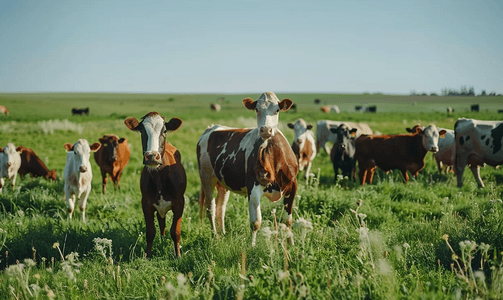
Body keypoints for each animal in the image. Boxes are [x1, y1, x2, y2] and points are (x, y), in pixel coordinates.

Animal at [125, 111, 188, 256]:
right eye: (142, 131)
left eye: (164, 130)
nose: (152, 156)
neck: (160, 179)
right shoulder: (146, 203)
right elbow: (150, 232)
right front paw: (148, 256)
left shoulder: (180, 203)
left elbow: (175, 232)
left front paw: (178, 255)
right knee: (161, 222)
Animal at [197, 91, 300, 246]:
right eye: (257, 109)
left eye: (277, 110)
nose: (265, 129)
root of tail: (212, 127)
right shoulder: (253, 188)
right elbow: (255, 222)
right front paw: (252, 246)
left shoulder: (292, 185)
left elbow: (287, 220)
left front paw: (291, 244)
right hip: (207, 177)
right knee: (211, 208)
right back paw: (215, 236)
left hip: (223, 183)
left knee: (221, 208)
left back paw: (223, 233)